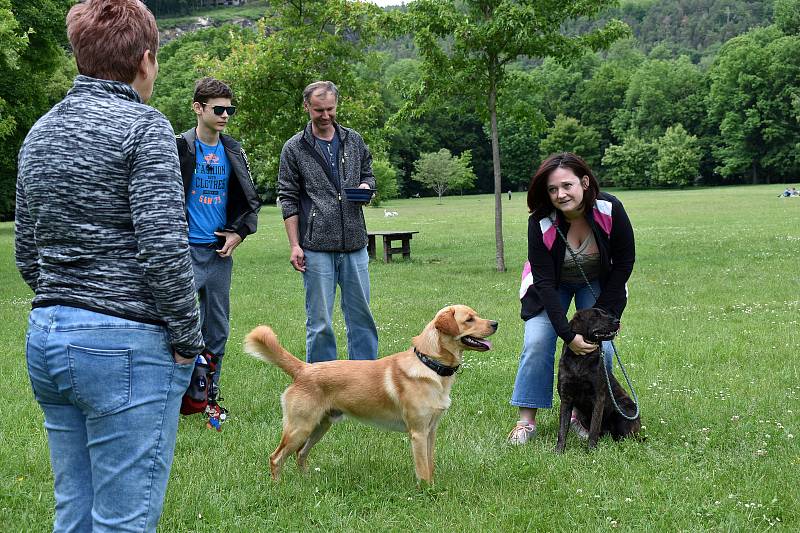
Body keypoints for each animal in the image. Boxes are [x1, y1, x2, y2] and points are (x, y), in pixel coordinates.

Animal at [244, 304, 496, 482]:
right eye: (469, 319)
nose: (496, 323)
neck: (429, 363)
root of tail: (303, 369)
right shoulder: (417, 432)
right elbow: (423, 469)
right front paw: (427, 491)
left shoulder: (431, 430)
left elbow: (430, 464)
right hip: (300, 427)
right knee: (276, 457)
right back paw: (278, 486)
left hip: (319, 426)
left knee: (300, 454)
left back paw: (306, 480)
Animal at [560, 306, 640, 450]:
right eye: (595, 316)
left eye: (605, 313)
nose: (617, 321)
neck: (581, 359)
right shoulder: (566, 398)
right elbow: (562, 430)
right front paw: (558, 451)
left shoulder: (598, 399)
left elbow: (594, 429)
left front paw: (591, 450)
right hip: (584, 416)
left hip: (625, 410)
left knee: (626, 437)